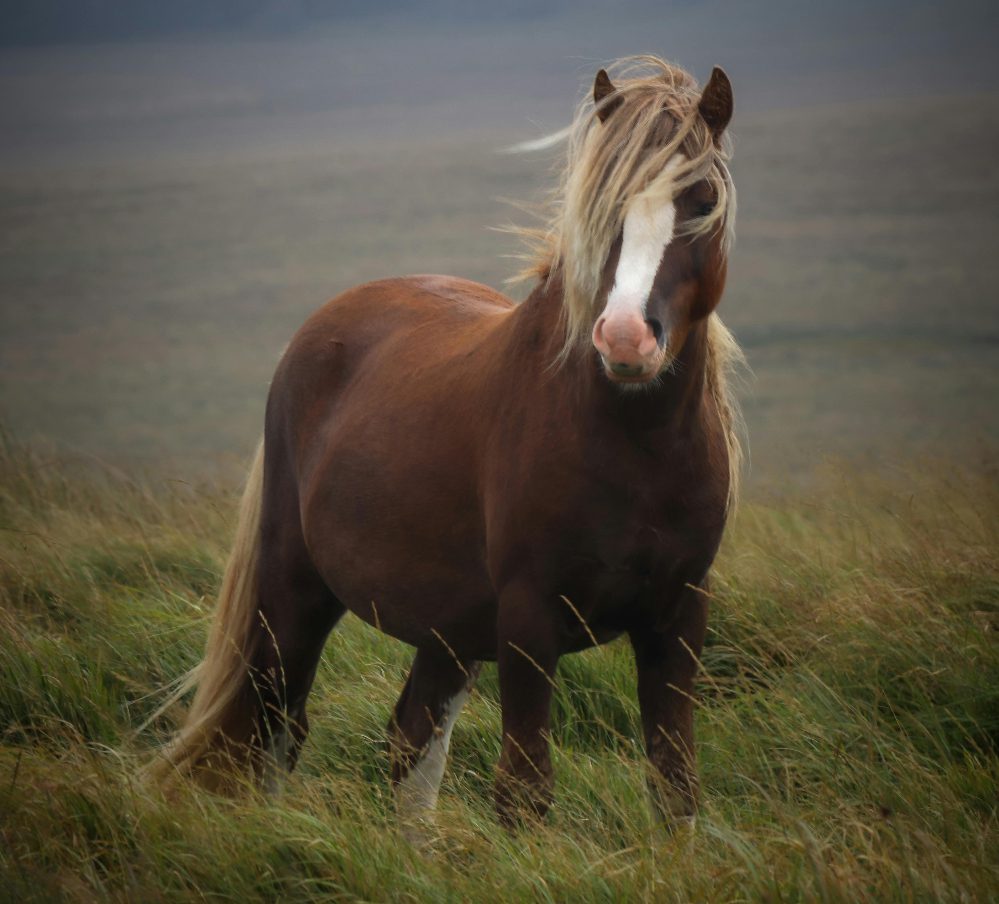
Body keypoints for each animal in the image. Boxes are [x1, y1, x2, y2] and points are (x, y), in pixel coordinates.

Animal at [148, 54, 744, 832]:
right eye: (602, 204)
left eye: (701, 199)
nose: (623, 338)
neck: (634, 450)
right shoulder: (528, 619)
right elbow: (524, 791)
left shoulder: (678, 617)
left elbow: (675, 788)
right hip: (294, 593)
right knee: (278, 727)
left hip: (449, 625)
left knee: (411, 741)